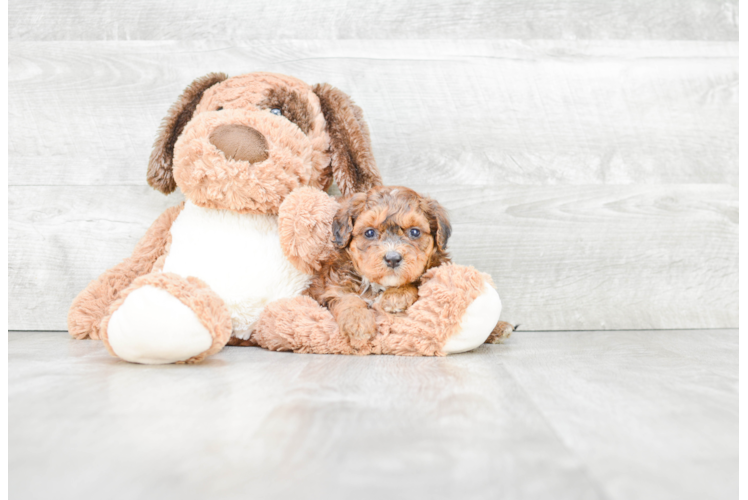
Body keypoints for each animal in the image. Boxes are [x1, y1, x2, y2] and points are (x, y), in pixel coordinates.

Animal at [306, 186, 450, 342]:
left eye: (415, 232)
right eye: (369, 233)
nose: (392, 258)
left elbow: (418, 283)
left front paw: (395, 296)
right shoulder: (331, 287)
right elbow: (346, 298)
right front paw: (357, 322)